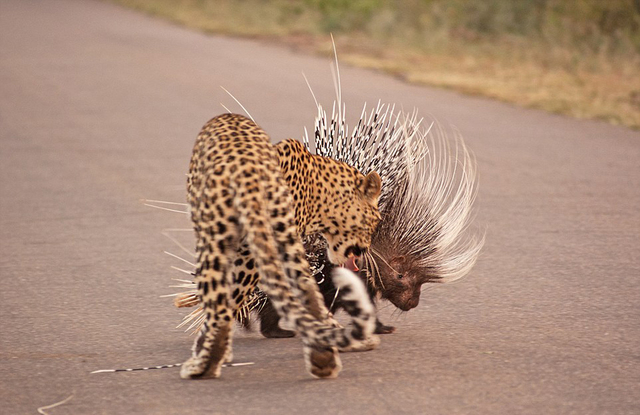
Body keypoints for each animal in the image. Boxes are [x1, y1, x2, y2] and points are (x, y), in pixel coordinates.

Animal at [178, 114, 382, 380]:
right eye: (376, 221)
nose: (366, 250)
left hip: (227, 246)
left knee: (226, 305)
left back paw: (205, 364)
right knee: (304, 293)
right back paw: (323, 359)